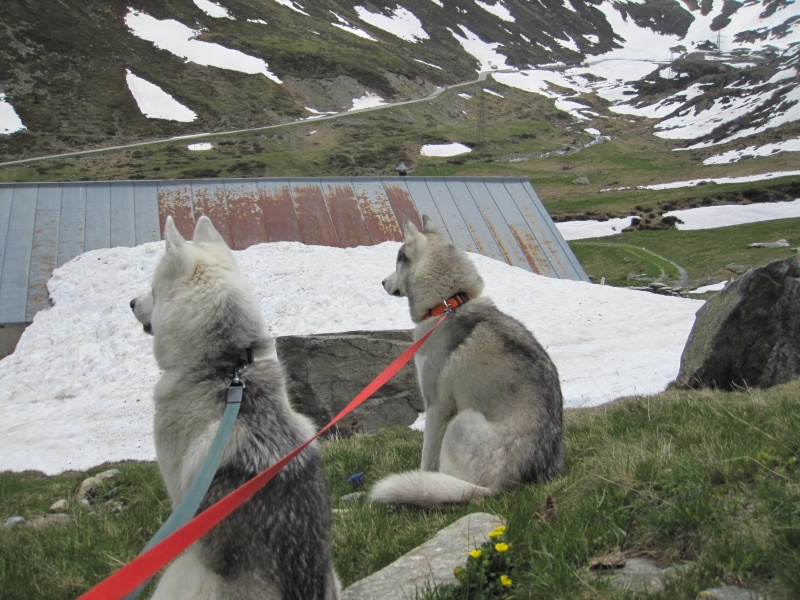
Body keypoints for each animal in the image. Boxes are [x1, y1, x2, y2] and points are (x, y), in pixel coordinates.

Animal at [372, 216, 564, 506]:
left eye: (398, 259)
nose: (382, 282)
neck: (447, 304)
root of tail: (509, 485)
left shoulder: (436, 406)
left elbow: (426, 458)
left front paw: (420, 476)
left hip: (460, 421)